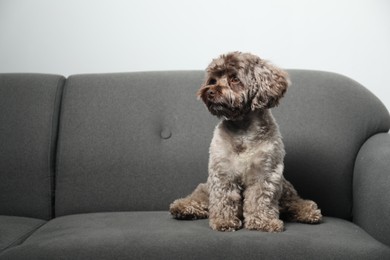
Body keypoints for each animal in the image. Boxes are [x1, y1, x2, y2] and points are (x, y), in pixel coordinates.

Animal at [169, 51, 322, 233]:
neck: (242, 129)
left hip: (285, 188)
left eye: (234, 79)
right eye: (213, 80)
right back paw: (183, 208)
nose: (210, 92)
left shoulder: (265, 173)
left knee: (295, 202)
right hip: (206, 187)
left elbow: (260, 199)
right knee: (199, 197)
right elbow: (224, 198)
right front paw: (224, 221)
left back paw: (309, 212)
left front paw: (262, 222)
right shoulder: (223, 172)